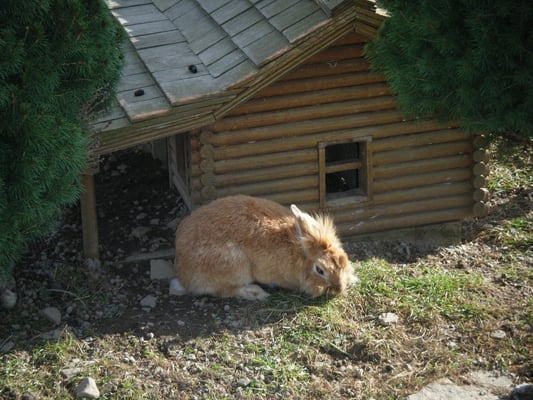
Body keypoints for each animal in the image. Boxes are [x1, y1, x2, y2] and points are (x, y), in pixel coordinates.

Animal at [172, 194, 356, 300]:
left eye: (343, 259)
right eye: (320, 270)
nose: (339, 288)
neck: (297, 251)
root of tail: (182, 272)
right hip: (235, 267)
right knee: (225, 291)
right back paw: (256, 293)